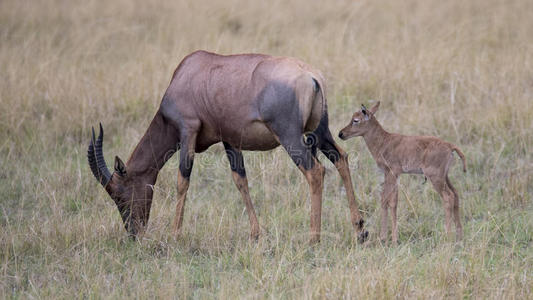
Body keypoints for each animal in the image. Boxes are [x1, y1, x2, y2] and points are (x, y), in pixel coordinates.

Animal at [89, 50, 368, 244]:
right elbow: (240, 179)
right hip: (319, 131)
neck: (187, 74)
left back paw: (313, 238)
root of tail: (311, 76)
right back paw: (359, 228)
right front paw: (255, 234)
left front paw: (175, 234)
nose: (133, 234)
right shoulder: (230, 139)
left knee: (315, 172)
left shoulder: (188, 131)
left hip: (290, 136)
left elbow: (183, 180)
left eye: (117, 193)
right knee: (341, 158)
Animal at [338, 101, 464, 244]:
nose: (341, 134)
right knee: (455, 194)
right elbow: (389, 200)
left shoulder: (392, 173)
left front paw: (390, 238)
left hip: (435, 178)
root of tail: (450, 146)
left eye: (356, 120)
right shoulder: (391, 174)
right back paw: (459, 237)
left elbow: (389, 201)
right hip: (445, 177)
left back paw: (448, 237)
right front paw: (387, 237)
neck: (385, 141)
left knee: (448, 197)